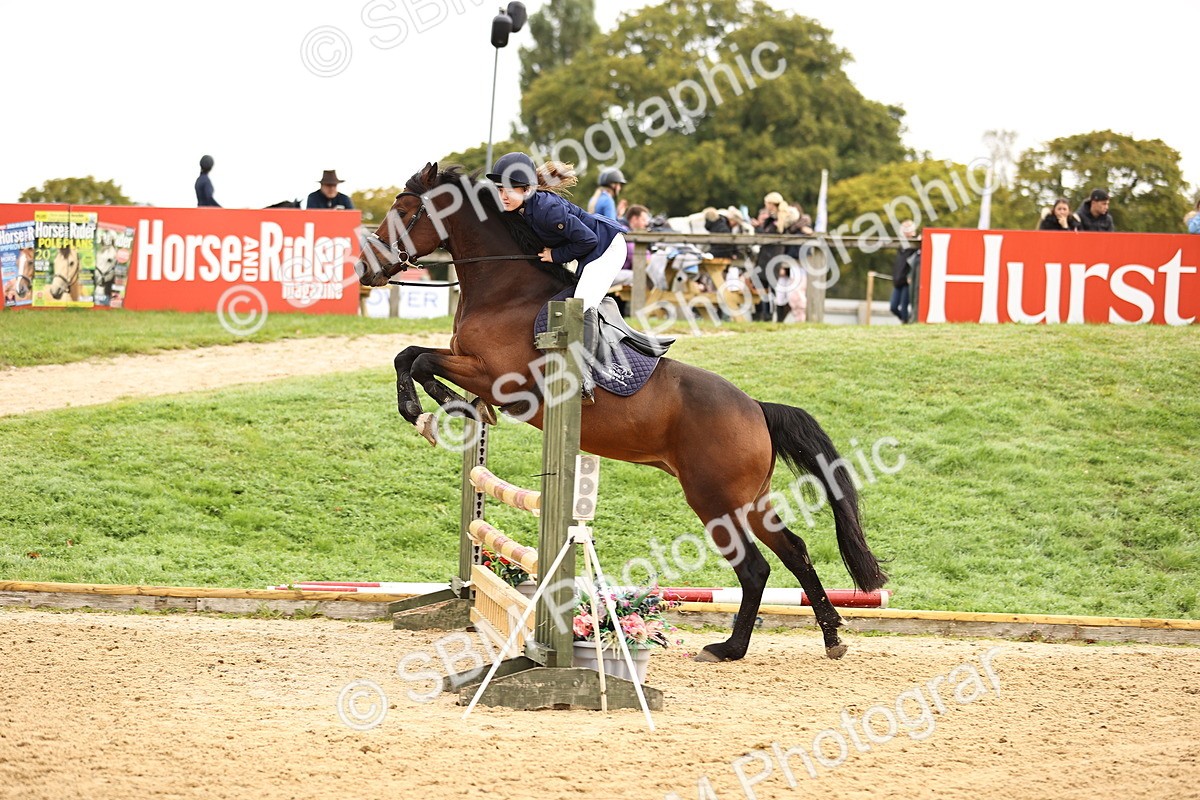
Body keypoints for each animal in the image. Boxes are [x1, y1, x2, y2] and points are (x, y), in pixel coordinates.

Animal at [354, 162, 887, 663]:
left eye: (405, 211)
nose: (365, 270)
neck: (504, 290)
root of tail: (757, 409)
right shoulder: (470, 364)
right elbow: (408, 355)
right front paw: (447, 409)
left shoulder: (502, 380)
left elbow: (419, 360)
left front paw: (434, 408)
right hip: (750, 502)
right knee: (795, 552)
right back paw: (831, 636)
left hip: (715, 499)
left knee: (754, 568)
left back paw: (730, 648)